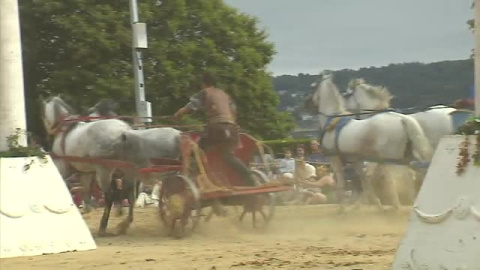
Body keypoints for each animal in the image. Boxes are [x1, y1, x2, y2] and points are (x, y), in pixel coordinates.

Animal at [41, 96, 139, 235]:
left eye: (43, 114)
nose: (46, 137)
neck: (66, 128)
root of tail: (125, 130)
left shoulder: (63, 166)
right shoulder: (85, 172)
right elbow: (86, 191)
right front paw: (87, 208)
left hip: (104, 171)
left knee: (109, 196)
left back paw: (103, 226)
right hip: (126, 169)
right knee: (130, 193)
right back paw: (124, 223)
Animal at [306, 71, 434, 211]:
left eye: (313, 87)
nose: (306, 104)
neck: (333, 123)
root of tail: (402, 119)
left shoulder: (336, 158)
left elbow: (343, 183)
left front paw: (343, 208)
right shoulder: (357, 160)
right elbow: (365, 180)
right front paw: (371, 204)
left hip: (392, 159)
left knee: (401, 178)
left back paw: (399, 206)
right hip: (404, 157)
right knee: (411, 175)